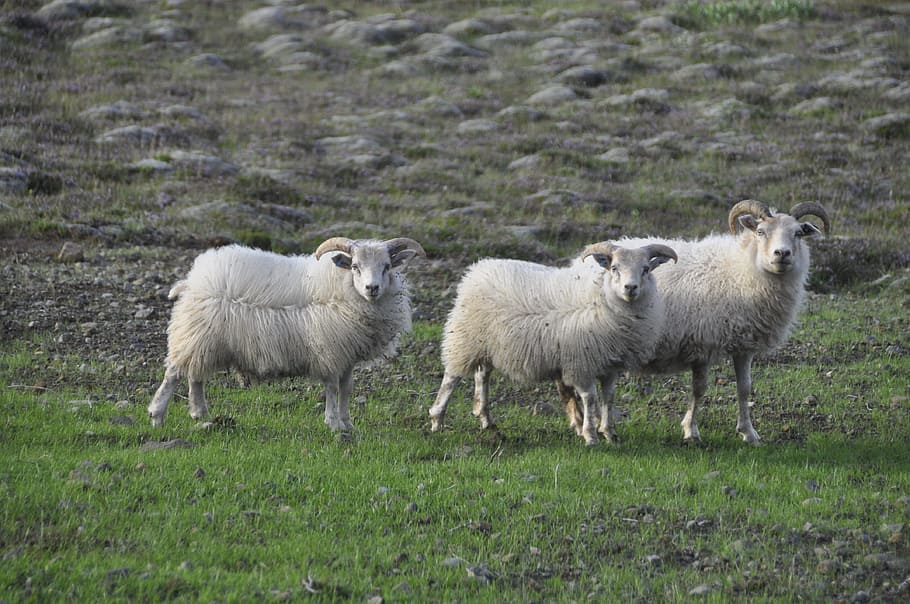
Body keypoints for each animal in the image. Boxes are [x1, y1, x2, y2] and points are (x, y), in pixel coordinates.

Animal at [148, 236, 426, 432]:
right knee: (174, 373)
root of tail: (193, 281)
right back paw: (157, 415)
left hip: (205, 341)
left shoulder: (347, 355)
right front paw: (334, 423)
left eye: (387, 266)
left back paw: (200, 413)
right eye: (355, 266)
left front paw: (347, 423)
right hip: (194, 334)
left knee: (195, 375)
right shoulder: (330, 350)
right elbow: (332, 388)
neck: (342, 288)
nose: (372, 288)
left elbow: (346, 388)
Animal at [428, 242, 678, 445]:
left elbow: (608, 398)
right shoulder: (581, 363)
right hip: (465, 338)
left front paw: (609, 433)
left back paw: (486, 419)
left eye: (646, 269)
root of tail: (478, 269)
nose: (630, 288)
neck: (600, 299)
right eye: (614, 268)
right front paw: (590, 435)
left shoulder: (609, 364)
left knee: (482, 375)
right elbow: (590, 398)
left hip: (488, 343)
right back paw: (437, 419)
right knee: (451, 377)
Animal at [559, 200, 830, 444]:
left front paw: (749, 433)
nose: (781, 254)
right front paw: (691, 431)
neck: (741, 270)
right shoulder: (702, 345)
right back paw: (580, 423)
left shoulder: (744, 345)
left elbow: (744, 388)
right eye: (761, 232)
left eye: (798, 233)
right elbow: (699, 390)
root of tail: (576, 263)